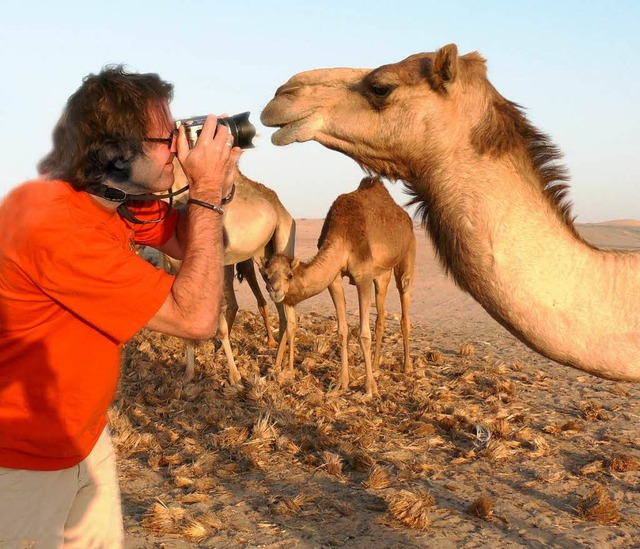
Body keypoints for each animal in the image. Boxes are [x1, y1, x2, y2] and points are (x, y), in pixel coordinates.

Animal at [165, 169, 296, 384]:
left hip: (283, 240)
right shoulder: (178, 266)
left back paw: (283, 368)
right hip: (266, 261)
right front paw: (188, 373)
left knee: (289, 315)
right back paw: (277, 362)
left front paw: (235, 377)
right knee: (282, 312)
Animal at [260, 178, 416, 396]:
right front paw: (342, 383)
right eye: (265, 276)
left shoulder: (363, 276)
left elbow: (364, 334)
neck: (343, 235)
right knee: (381, 315)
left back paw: (407, 367)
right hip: (381, 274)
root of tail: (405, 218)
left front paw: (370, 388)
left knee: (404, 301)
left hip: (407, 254)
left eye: (289, 275)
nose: (275, 290)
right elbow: (342, 331)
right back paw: (376, 366)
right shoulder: (334, 279)